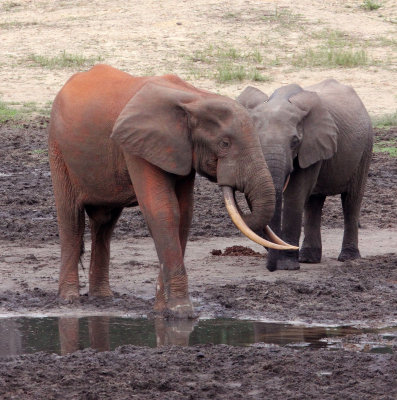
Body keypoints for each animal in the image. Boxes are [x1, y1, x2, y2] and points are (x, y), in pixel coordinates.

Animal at [237, 78, 372, 270]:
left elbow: (295, 195)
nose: (271, 267)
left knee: (351, 200)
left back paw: (348, 258)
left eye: (295, 142)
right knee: (313, 203)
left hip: (365, 147)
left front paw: (287, 266)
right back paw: (308, 259)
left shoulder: (311, 144)